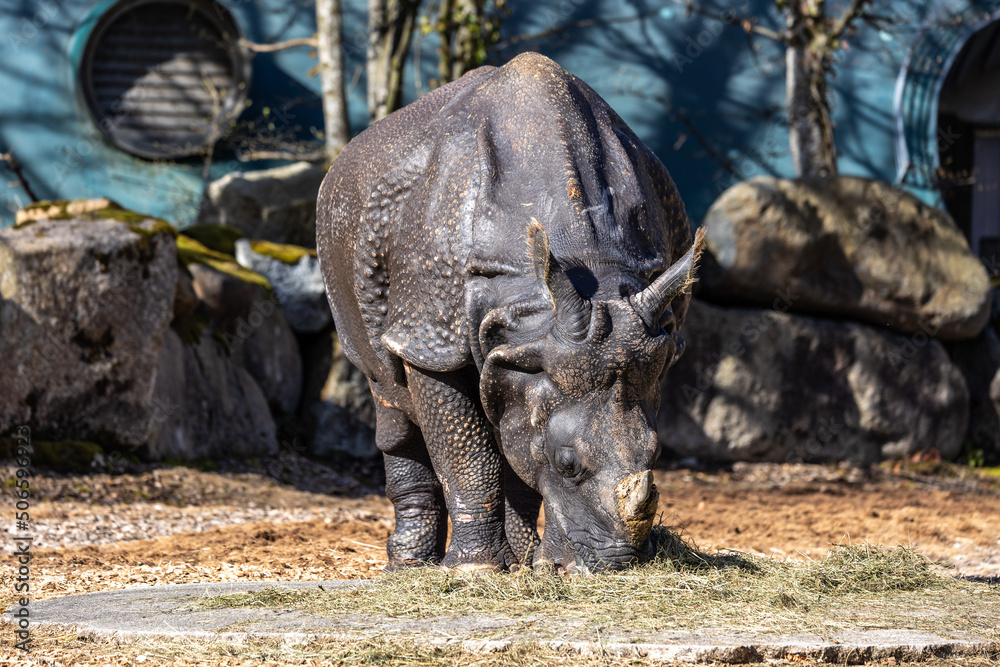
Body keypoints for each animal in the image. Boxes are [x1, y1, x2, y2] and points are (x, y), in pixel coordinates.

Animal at [316, 52, 702, 572]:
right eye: (567, 463)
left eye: (658, 452)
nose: (616, 563)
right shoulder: (430, 337)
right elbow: (465, 452)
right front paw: (475, 569)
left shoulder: (581, 345)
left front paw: (536, 566)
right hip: (339, 223)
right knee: (386, 390)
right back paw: (410, 564)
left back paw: (522, 559)